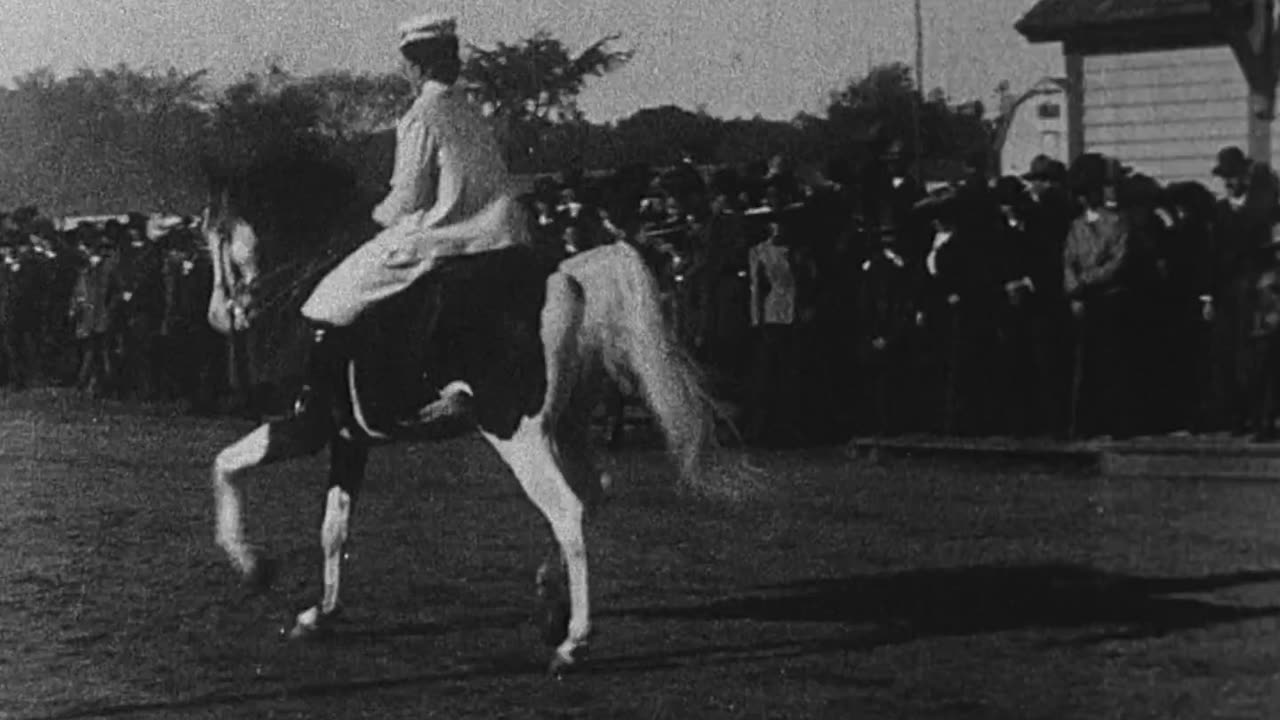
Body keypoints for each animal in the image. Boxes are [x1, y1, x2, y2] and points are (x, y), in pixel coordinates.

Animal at [194, 140, 747, 671]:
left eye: (216, 234)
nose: (219, 317)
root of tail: (564, 273)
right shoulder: (349, 437)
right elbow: (332, 527)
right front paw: (318, 614)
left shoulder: (305, 424)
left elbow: (225, 465)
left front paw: (253, 566)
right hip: (566, 426)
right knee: (592, 494)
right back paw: (550, 598)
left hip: (516, 432)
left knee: (567, 509)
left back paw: (572, 642)